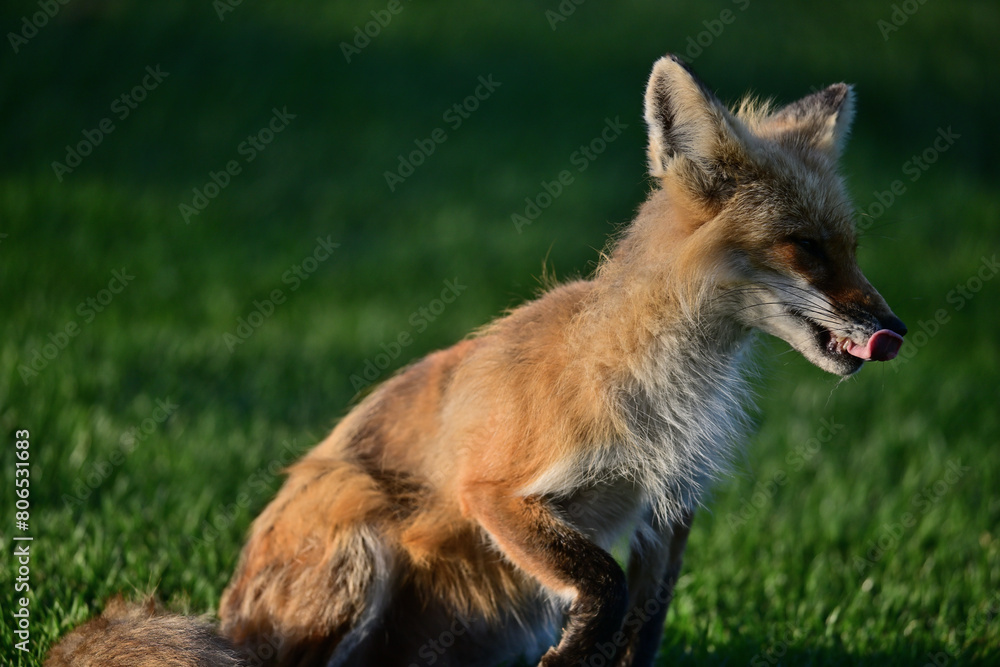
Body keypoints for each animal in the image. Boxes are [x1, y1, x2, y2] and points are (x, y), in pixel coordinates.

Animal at [47, 54, 905, 667]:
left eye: (852, 246)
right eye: (805, 247)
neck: (666, 382)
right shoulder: (495, 492)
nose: (895, 328)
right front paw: (575, 649)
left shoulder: (670, 507)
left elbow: (643, 619)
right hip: (359, 536)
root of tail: (226, 616)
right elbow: (602, 583)